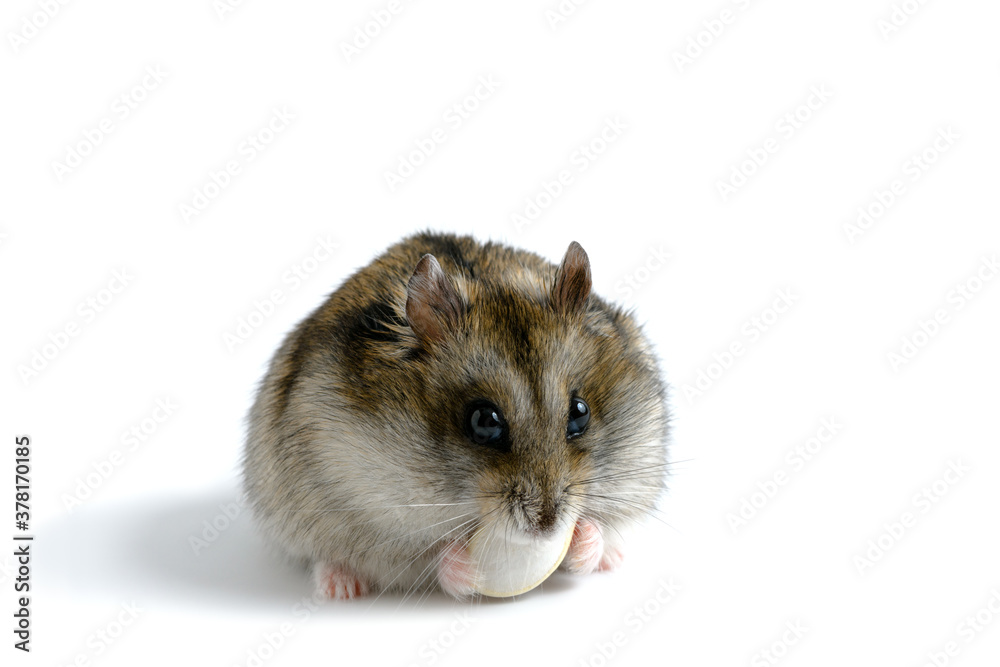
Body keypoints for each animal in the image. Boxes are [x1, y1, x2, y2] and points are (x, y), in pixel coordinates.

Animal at [242, 231, 670, 600]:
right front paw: (468, 568)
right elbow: (429, 560)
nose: (547, 526)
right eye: (484, 422)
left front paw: (586, 542)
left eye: (580, 414)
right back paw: (340, 587)